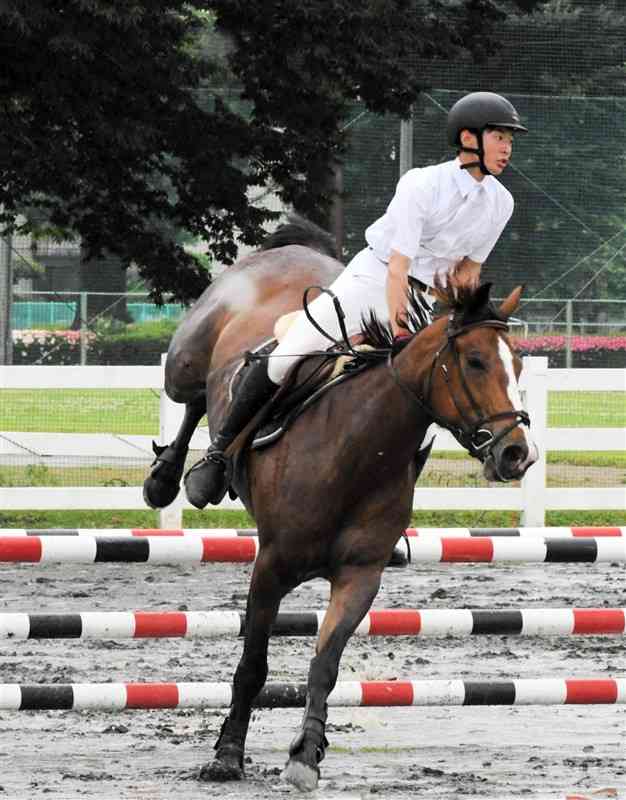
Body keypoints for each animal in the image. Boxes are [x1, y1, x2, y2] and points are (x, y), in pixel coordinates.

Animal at [143, 216, 536, 792]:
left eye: (519, 365)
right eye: (476, 360)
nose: (516, 454)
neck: (355, 450)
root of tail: (290, 250)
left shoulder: (358, 576)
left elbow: (324, 665)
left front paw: (307, 753)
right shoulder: (270, 567)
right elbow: (253, 666)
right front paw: (228, 756)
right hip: (187, 358)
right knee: (196, 395)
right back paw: (176, 478)